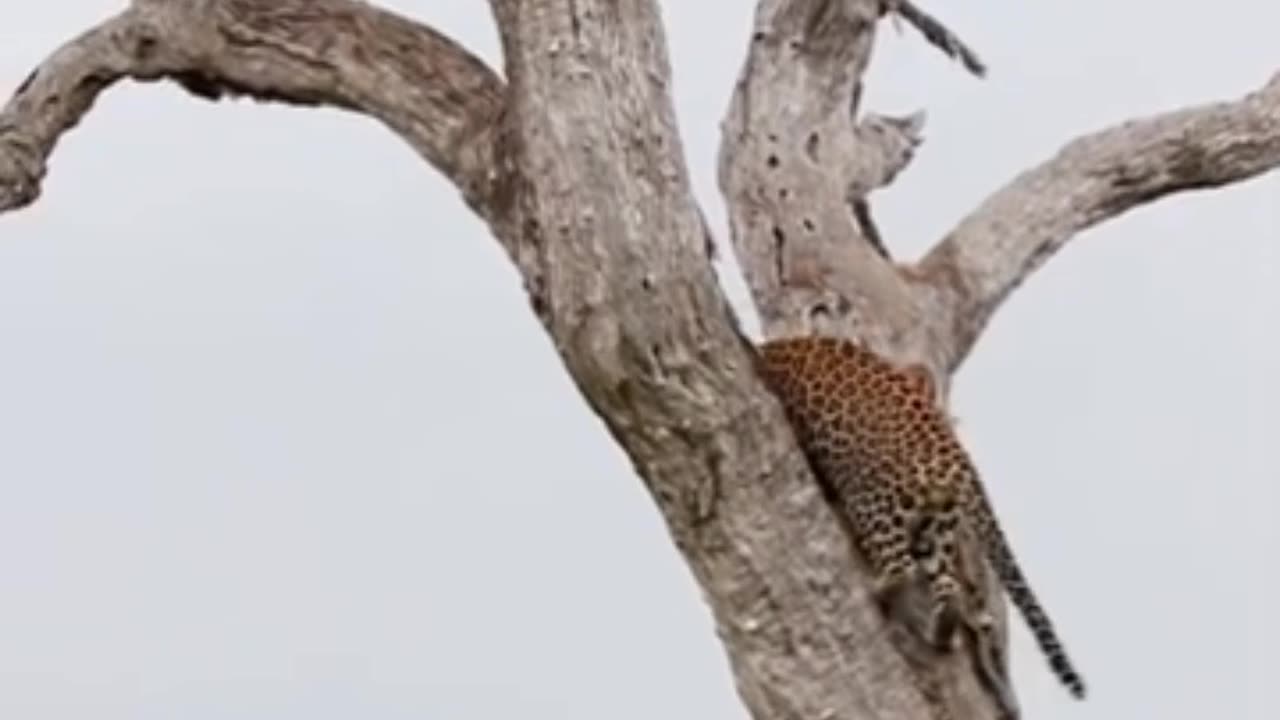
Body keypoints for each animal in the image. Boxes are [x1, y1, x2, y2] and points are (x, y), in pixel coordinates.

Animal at [752, 335, 1085, 702]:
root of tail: (953, 456)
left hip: (872, 500)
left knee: (902, 568)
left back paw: (880, 590)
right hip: (936, 521)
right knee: (948, 589)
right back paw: (941, 633)